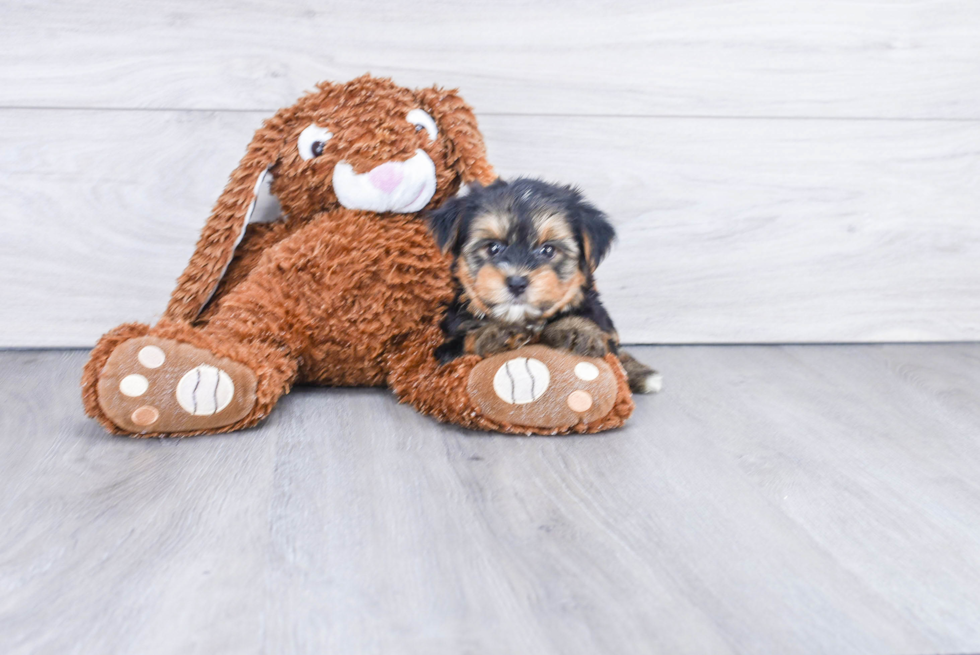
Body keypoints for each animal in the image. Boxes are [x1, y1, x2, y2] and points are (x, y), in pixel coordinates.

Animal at [426, 176, 660, 394]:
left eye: (548, 250)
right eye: (493, 247)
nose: (517, 282)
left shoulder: (602, 322)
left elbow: (603, 337)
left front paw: (577, 329)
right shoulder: (448, 344)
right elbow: (465, 342)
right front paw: (495, 333)